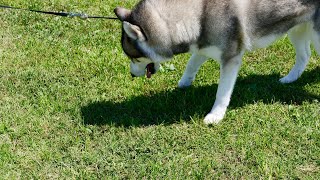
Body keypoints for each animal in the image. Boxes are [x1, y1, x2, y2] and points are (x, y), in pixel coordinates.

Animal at [114, 0, 320, 124]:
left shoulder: (231, 57)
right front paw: (184, 82)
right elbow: (191, 63)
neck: (199, 13)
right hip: (296, 28)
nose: (132, 74)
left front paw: (216, 115)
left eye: (134, 57)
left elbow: (222, 92)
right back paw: (290, 79)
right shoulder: (203, 46)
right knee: (304, 55)